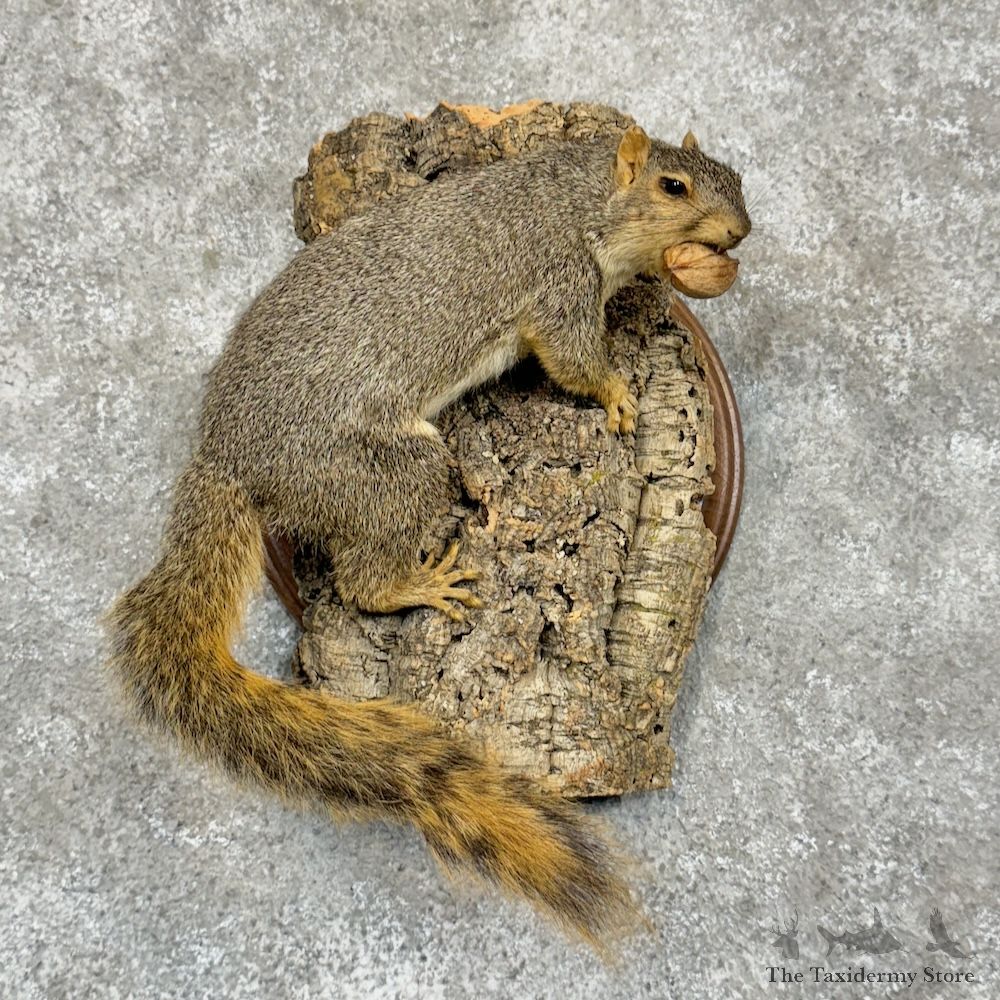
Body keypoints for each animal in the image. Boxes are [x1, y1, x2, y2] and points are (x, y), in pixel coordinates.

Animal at [106, 124, 750, 951]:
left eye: (734, 177)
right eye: (673, 186)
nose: (739, 232)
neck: (579, 196)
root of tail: (230, 462)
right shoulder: (562, 285)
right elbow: (573, 359)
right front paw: (616, 391)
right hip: (385, 470)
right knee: (361, 577)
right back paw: (418, 583)